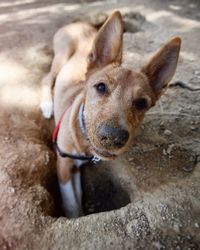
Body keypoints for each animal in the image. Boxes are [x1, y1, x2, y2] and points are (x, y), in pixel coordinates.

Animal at [39, 10, 180, 218]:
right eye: (101, 87)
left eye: (141, 103)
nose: (113, 138)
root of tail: (78, 23)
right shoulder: (63, 164)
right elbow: (71, 202)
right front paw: (74, 216)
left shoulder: (76, 168)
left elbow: (78, 196)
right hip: (61, 57)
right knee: (47, 78)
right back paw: (47, 104)